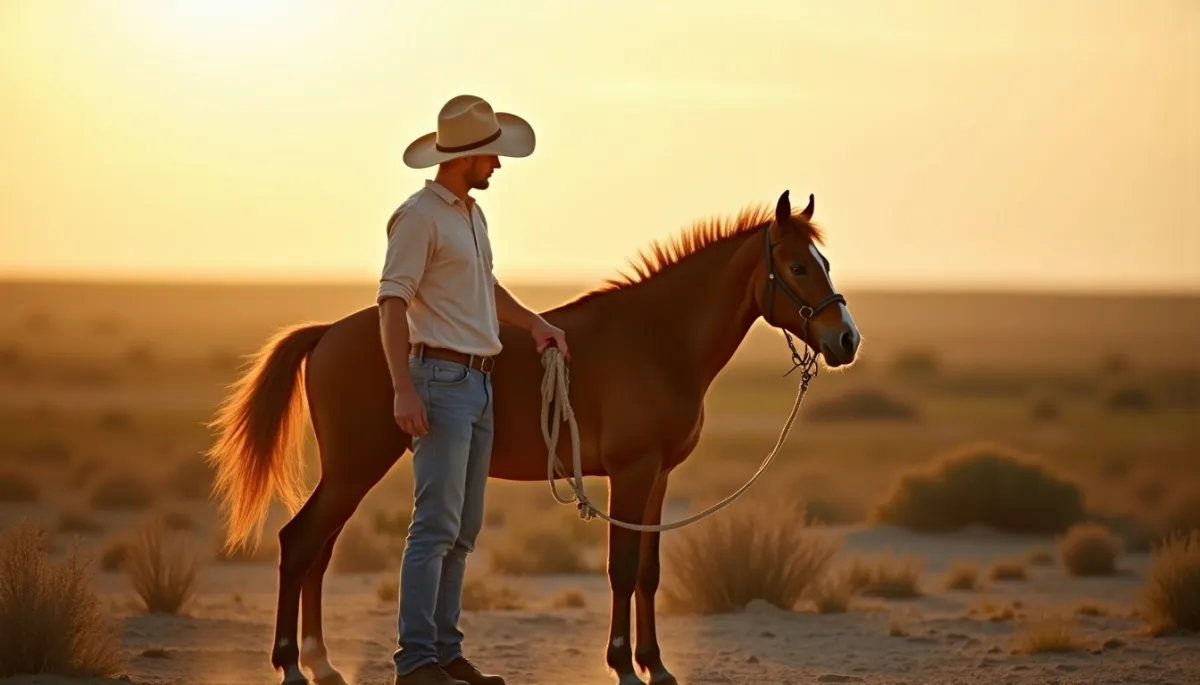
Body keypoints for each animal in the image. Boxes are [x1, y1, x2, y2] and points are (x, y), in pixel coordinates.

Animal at [206, 189, 861, 685]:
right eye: (798, 266)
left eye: (826, 262)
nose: (846, 340)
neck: (659, 337)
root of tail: (326, 333)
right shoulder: (631, 474)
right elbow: (622, 570)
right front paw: (624, 667)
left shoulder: (657, 478)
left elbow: (648, 574)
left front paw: (657, 666)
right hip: (352, 469)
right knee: (299, 543)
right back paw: (293, 666)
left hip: (352, 474)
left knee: (318, 551)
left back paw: (322, 664)